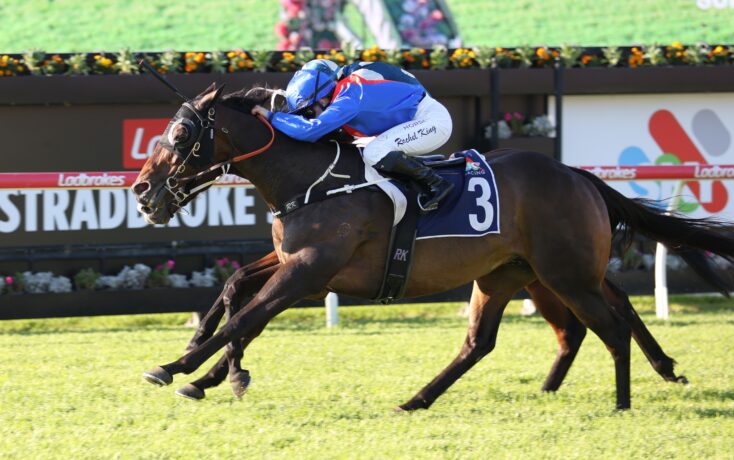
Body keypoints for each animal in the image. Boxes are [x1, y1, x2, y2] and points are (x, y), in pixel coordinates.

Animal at [132, 83, 734, 410]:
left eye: (181, 134)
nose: (141, 190)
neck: (313, 178)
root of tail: (579, 176)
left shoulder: (310, 270)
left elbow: (245, 317)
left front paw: (177, 367)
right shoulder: (292, 263)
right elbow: (236, 294)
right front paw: (215, 374)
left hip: (566, 273)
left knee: (608, 325)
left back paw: (623, 400)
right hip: (514, 273)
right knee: (490, 341)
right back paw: (419, 399)